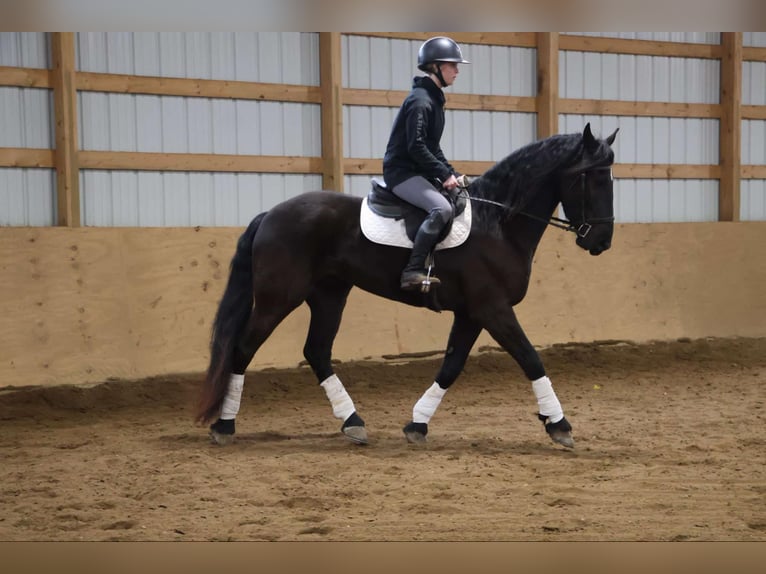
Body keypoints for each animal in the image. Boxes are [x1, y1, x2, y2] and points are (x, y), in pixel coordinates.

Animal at [196, 123, 618, 449]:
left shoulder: (471, 313)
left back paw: (353, 422)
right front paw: (559, 426)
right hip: (278, 298)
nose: (602, 242)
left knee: (316, 351)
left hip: (329, 295)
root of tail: (271, 214)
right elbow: (530, 358)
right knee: (244, 348)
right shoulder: (492, 308)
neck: (497, 222)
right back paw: (225, 425)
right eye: (593, 177)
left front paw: (417, 424)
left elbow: (451, 366)